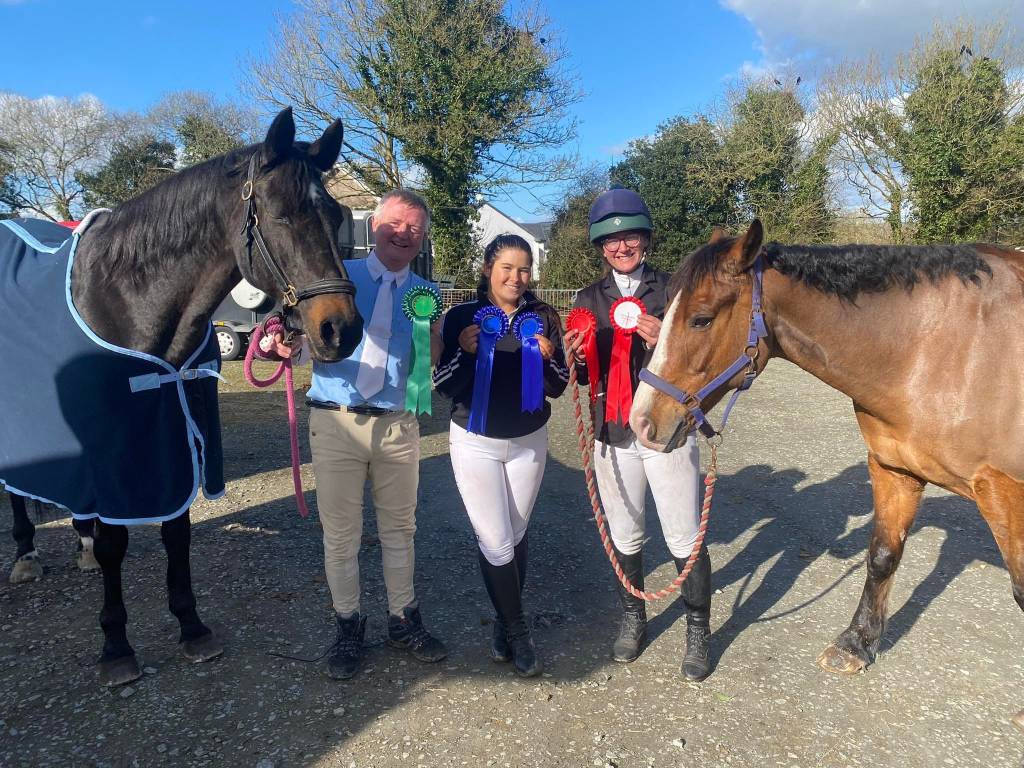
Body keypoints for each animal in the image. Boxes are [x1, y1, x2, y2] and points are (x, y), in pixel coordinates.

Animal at [0, 107, 364, 686]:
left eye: (334, 214)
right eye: (281, 215)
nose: (340, 330)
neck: (125, 298)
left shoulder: (176, 430)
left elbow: (177, 532)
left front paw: (192, 627)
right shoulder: (121, 447)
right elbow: (117, 543)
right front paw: (116, 645)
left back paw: (77, 546)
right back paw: (27, 555)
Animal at [630, 219, 1024, 675]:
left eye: (701, 319)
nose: (641, 422)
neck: (935, 351)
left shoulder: (1006, 494)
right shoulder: (894, 468)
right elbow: (883, 555)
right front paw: (856, 643)